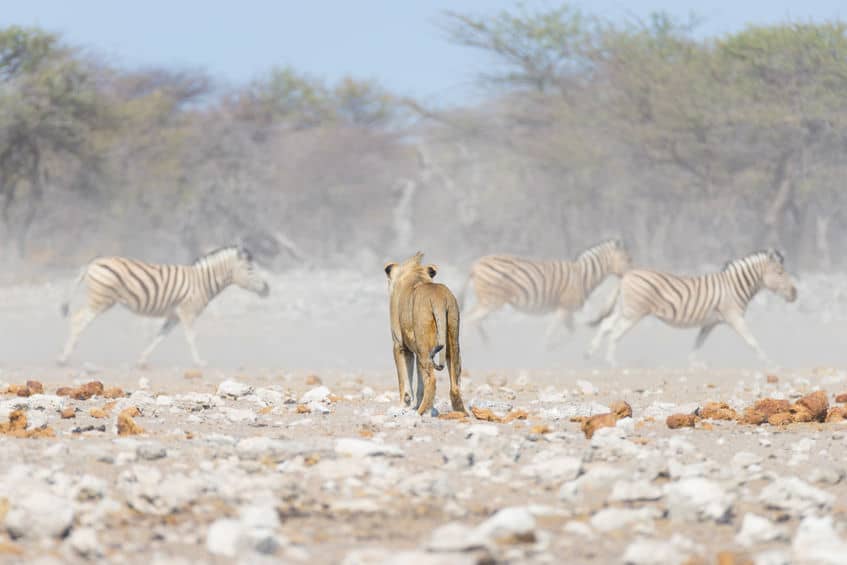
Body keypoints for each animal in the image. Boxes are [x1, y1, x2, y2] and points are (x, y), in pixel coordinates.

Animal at [57, 246, 268, 368]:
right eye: (250, 269)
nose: (268, 289)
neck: (201, 282)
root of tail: (93, 263)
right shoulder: (187, 311)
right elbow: (192, 337)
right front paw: (199, 362)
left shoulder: (174, 316)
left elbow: (159, 336)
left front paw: (142, 360)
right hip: (100, 300)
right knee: (78, 319)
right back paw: (64, 358)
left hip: (101, 300)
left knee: (79, 319)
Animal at [460, 238, 632, 344]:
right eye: (627, 259)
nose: (631, 275)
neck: (583, 276)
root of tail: (475, 265)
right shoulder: (564, 308)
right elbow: (551, 333)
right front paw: (544, 351)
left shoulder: (566, 310)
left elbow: (570, 334)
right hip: (492, 301)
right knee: (471, 319)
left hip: (485, 300)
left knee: (471, 318)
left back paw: (487, 347)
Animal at [588, 248, 800, 366]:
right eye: (780, 272)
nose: (795, 294)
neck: (734, 286)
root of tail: (626, 275)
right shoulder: (734, 316)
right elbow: (752, 341)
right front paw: (770, 362)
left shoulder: (710, 322)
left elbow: (698, 343)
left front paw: (693, 364)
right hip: (634, 312)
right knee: (615, 333)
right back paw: (612, 362)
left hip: (626, 309)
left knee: (606, 325)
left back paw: (591, 355)